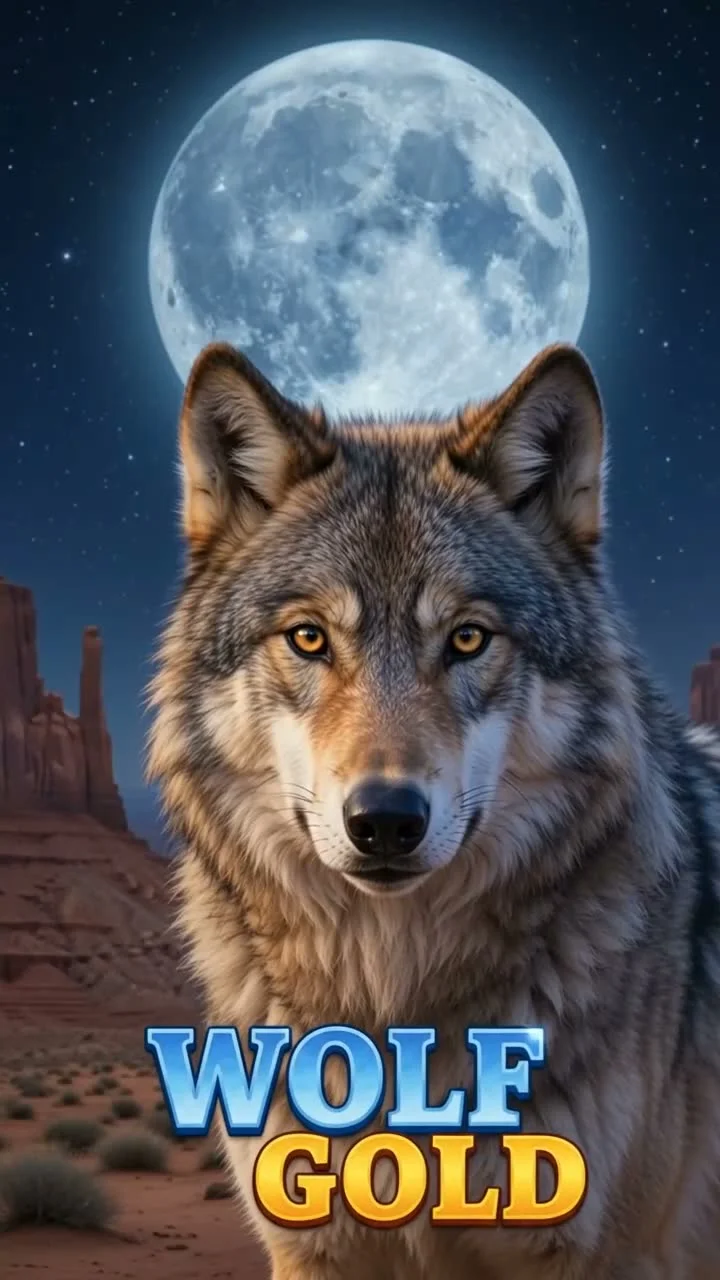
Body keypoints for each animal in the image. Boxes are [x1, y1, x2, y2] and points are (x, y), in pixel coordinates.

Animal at [147, 339, 720, 1280]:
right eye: (309, 638)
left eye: (467, 638)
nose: (384, 819)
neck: (395, 1006)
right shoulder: (313, 1246)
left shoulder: (601, 1250)